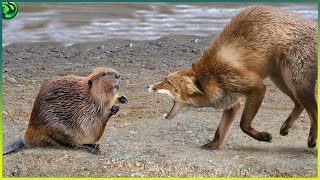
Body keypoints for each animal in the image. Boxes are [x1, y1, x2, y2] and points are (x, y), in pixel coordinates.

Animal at [148, 5, 318, 149]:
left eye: (166, 81)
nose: (148, 86)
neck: (210, 77)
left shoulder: (256, 87)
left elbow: (243, 125)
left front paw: (263, 137)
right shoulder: (231, 103)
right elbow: (220, 130)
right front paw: (213, 144)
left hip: (297, 85)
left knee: (314, 110)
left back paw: (312, 139)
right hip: (282, 82)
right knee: (299, 105)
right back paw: (286, 127)